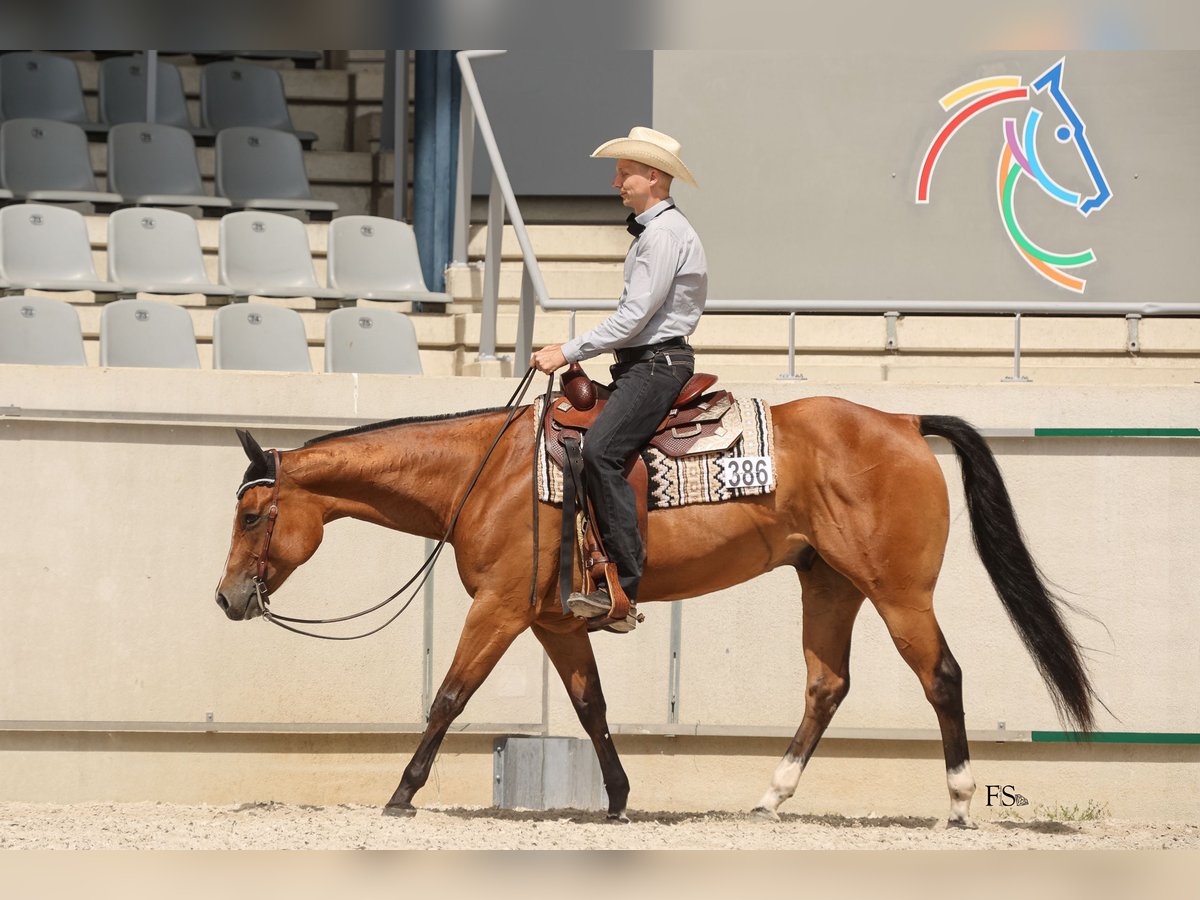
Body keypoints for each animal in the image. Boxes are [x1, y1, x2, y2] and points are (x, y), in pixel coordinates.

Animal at [213, 393, 1099, 830]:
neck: (485, 472)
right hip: (829, 585)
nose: (226, 598)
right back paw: (770, 798)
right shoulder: (554, 622)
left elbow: (450, 697)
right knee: (826, 686)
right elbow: (592, 708)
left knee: (941, 675)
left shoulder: (499, 609)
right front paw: (616, 799)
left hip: (898, 591)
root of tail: (903, 421)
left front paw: (402, 793)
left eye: (253, 516)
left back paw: (958, 802)